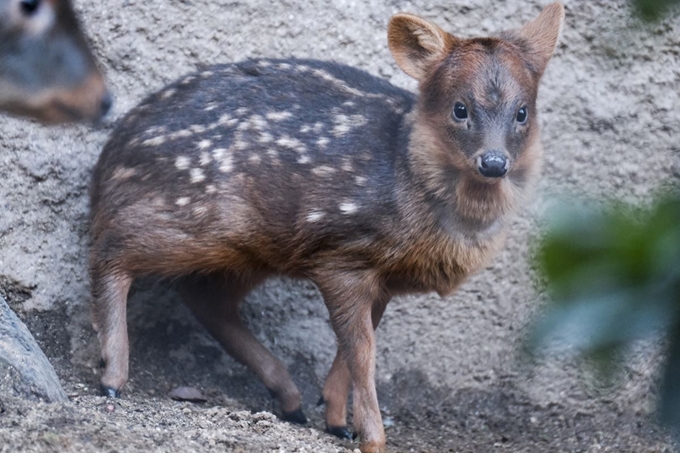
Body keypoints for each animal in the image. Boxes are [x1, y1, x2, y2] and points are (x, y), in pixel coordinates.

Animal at [91, 4, 568, 452]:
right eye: (460, 108)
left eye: (522, 112)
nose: (494, 162)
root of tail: (110, 155)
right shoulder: (342, 255)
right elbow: (363, 352)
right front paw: (372, 438)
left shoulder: (381, 276)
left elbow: (350, 349)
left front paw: (337, 420)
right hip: (193, 216)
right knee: (111, 248)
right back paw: (112, 376)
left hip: (252, 248)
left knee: (205, 297)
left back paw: (290, 400)